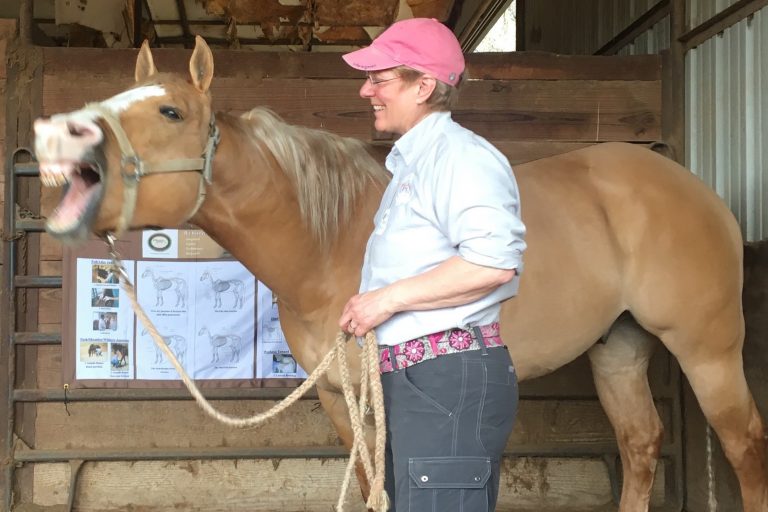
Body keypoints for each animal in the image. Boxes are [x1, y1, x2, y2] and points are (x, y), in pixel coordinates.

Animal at [32, 36, 767, 511]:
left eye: (171, 111)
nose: (64, 145)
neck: (325, 242)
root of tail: (695, 188)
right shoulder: (338, 397)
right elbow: (368, 487)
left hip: (707, 350)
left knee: (745, 446)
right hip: (619, 348)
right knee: (640, 445)